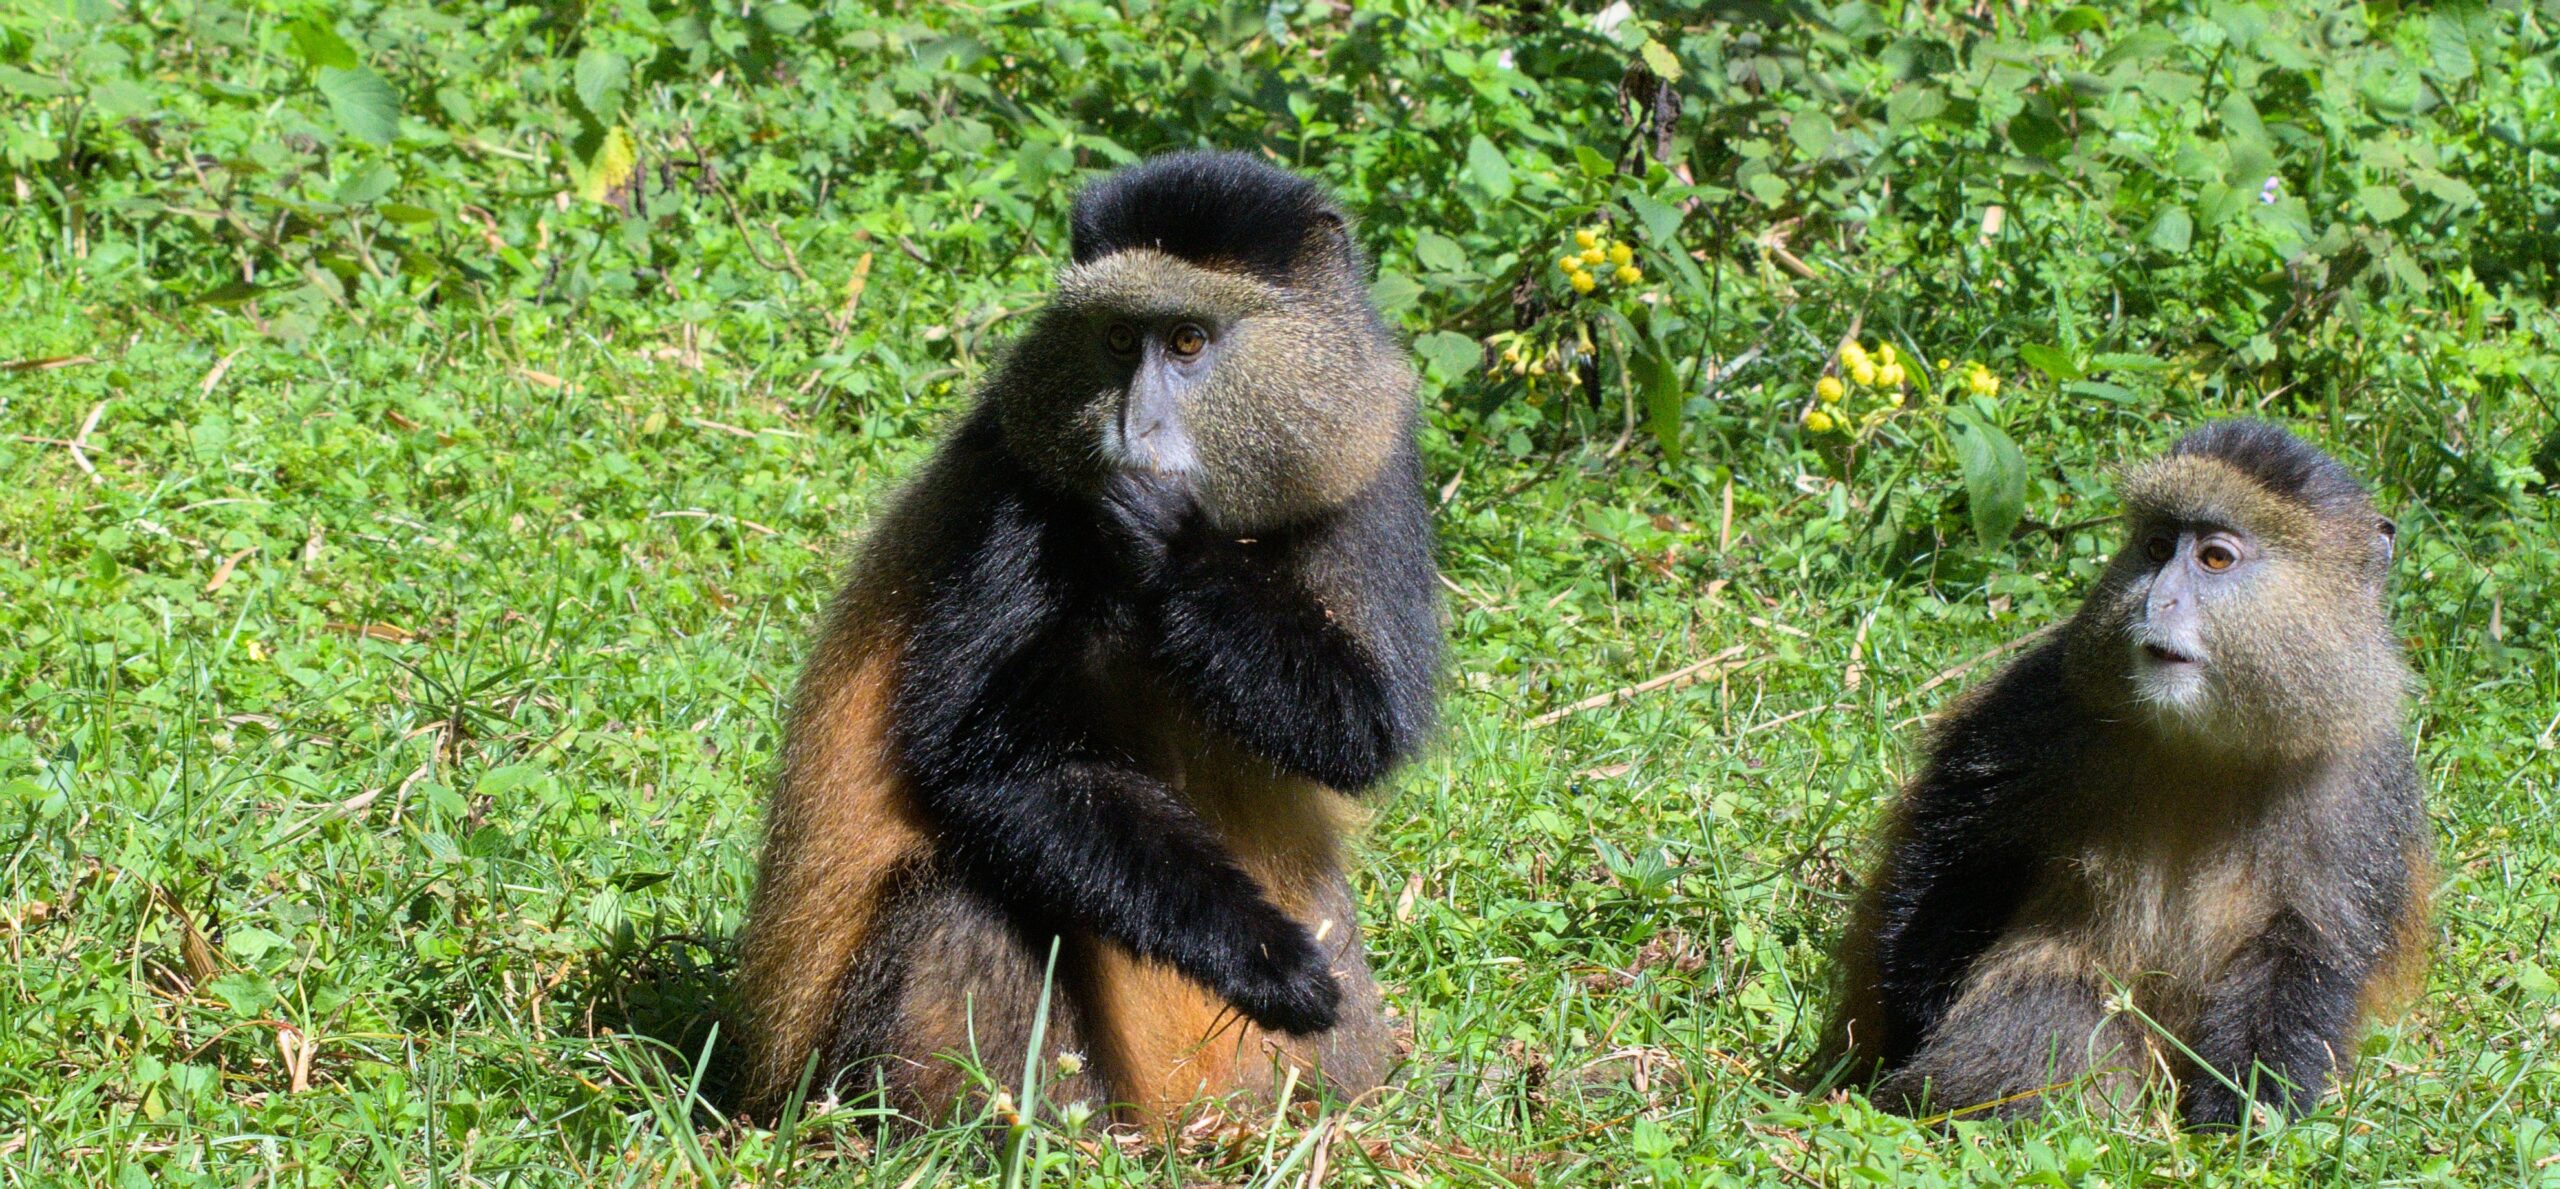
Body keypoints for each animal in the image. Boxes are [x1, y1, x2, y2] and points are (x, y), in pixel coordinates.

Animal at [729, 151, 1441, 1129]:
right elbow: (986, 765)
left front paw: (1172, 548)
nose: (1131, 427)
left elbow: (1367, 728)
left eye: (1187, 341)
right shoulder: (1020, 490)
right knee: (963, 896)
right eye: (1114, 339)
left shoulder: (1371, 459)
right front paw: (1265, 958)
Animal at [1823, 420, 2431, 1129]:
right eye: (2157, 547)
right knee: (2052, 1000)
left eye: (2215, 558)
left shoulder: (2363, 786)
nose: (2155, 599)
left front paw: (2247, 1112)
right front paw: (1909, 1024)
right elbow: (1956, 855)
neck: (2203, 748)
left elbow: (2310, 946)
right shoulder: (2038, 705)